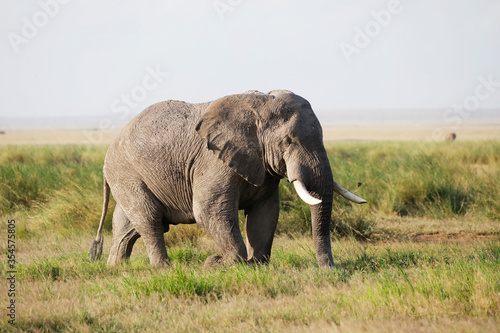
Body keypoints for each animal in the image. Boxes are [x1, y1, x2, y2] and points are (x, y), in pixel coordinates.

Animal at [88, 89, 366, 268]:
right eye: (288, 141)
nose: (330, 269)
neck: (258, 107)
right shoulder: (213, 161)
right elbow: (210, 211)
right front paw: (222, 264)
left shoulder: (261, 164)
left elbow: (265, 212)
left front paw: (258, 265)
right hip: (126, 172)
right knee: (149, 219)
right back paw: (163, 268)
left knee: (127, 223)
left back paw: (116, 267)